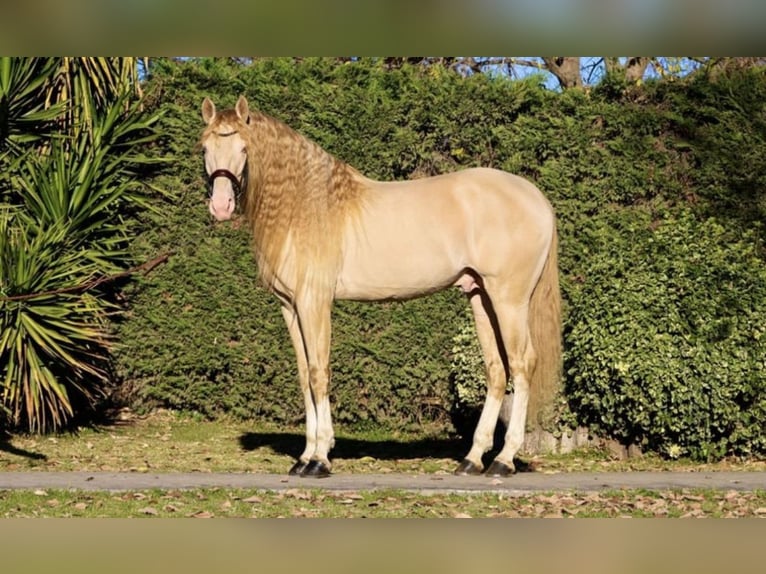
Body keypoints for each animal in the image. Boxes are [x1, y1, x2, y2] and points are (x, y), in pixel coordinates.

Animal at [200, 97, 564, 480]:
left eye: (243, 148)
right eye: (205, 148)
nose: (221, 206)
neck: (307, 205)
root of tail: (537, 199)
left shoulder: (315, 302)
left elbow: (318, 373)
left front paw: (319, 459)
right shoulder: (291, 307)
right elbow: (303, 376)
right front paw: (303, 457)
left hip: (510, 299)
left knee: (522, 364)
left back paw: (503, 460)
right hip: (481, 297)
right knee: (496, 370)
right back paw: (472, 459)